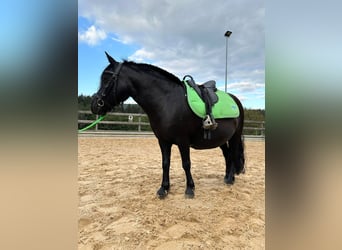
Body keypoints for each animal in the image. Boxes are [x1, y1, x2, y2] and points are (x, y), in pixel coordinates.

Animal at [91, 51, 246, 198]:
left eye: (107, 78)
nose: (94, 105)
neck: (167, 101)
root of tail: (235, 99)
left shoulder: (183, 141)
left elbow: (186, 164)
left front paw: (190, 189)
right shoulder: (163, 141)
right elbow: (165, 163)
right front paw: (164, 188)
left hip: (235, 136)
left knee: (232, 153)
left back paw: (230, 179)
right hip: (222, 138)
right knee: (227, 155)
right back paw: (227, 177)